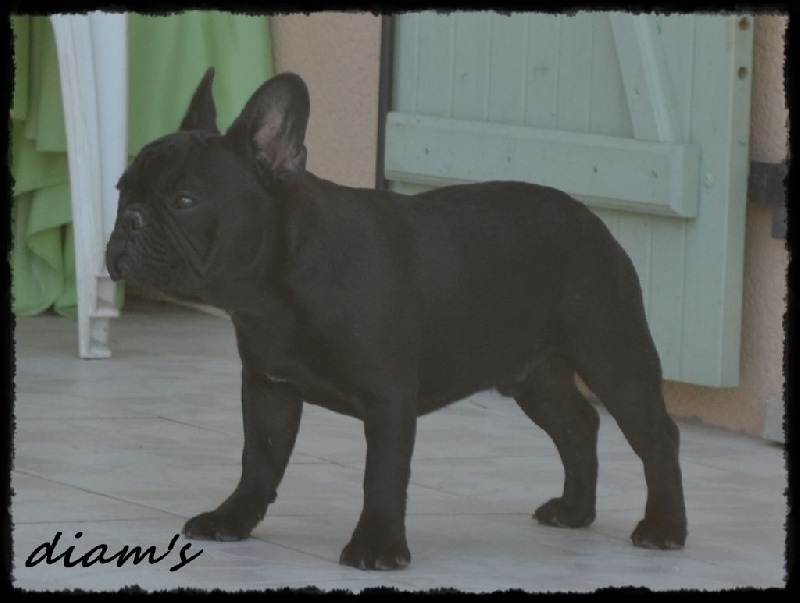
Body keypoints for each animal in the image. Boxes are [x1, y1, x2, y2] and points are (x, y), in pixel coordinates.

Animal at [106, 68, 687, 570]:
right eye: (120, 190)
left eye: (184, 200)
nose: (128, 221)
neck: (272, 291)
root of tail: (591, 220)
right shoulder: (268, 390)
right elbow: (259, 460)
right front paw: (233, 519)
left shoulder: (387, 400)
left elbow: (381, 476)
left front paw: (377, 547)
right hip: (534, 376)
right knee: (577, 424)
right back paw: (575, 511)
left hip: (614, 355)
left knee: (656, 436)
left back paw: (664, 527)